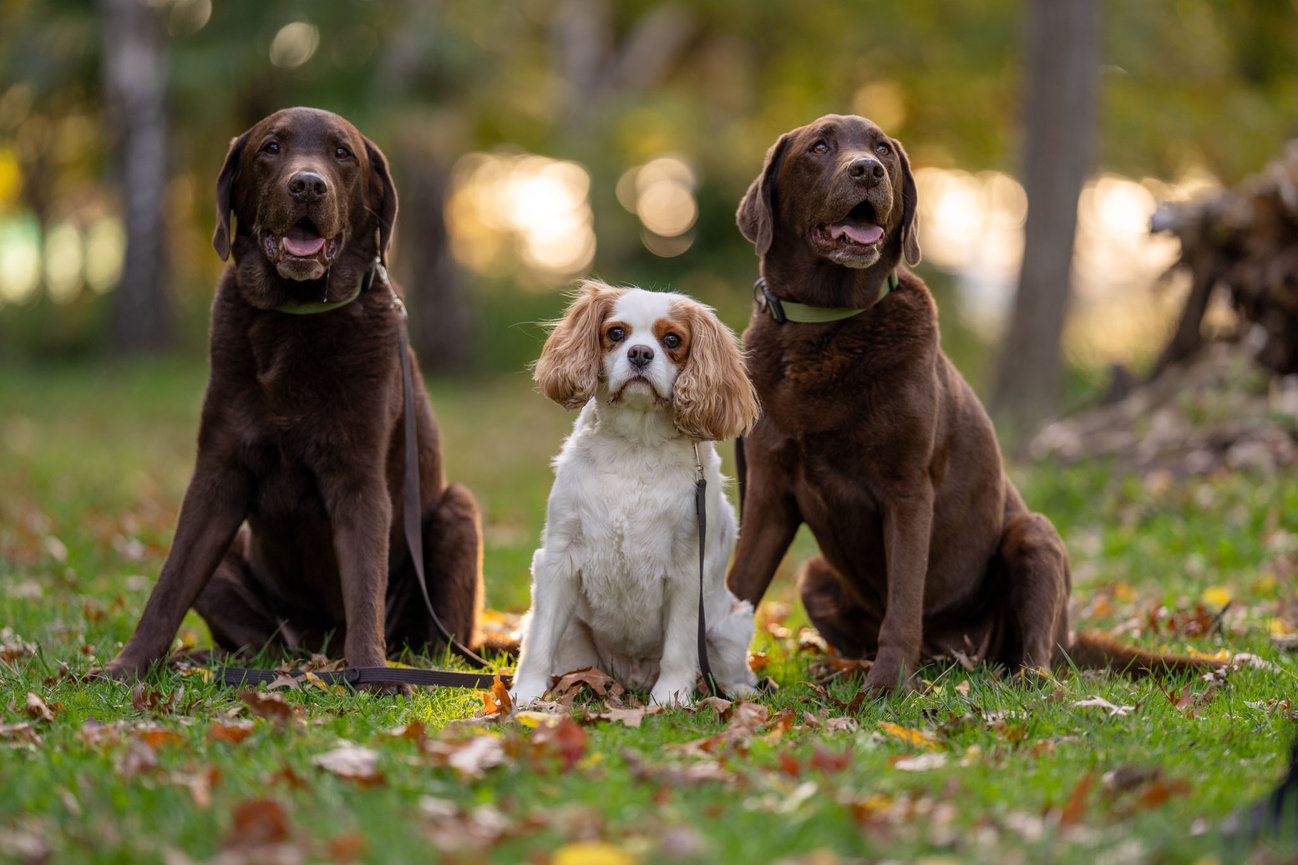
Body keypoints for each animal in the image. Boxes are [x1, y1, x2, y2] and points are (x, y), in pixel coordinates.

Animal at [101, 105, 485, 680]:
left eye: (343, 153)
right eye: (271, 148)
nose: (307, 185)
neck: (296, 317)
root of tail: (315, 644)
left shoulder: (359, 478)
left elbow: (364, 587)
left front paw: (370, 674)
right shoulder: (216, 474)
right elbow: (168, 587)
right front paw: (125, 667)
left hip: (458, 515)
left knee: (436, 639)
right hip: (234, 569)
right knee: (258, 637)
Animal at [511, 279, 763, 706]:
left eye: (672, 340)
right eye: (616, 333)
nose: (641, 353)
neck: (635, 444)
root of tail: (630, 677)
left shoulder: (687, 572)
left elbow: (679, 647)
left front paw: (670, 699)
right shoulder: (558, 560)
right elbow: (538, 641)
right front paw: (525, 696)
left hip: (729, 628)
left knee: (728, 669)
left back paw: (736, 692)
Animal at [732, 116, 1214, 696]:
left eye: (883, 150)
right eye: (820, 147)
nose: (867, 170)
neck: (826, 325)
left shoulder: (907, 490)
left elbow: (903, 604)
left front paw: (886, 690)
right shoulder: (768, 489)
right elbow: (736, 587)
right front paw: (706, 683)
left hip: (1034, 536)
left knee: (1037, 661)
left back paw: (1013, 679)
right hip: (816, 577)